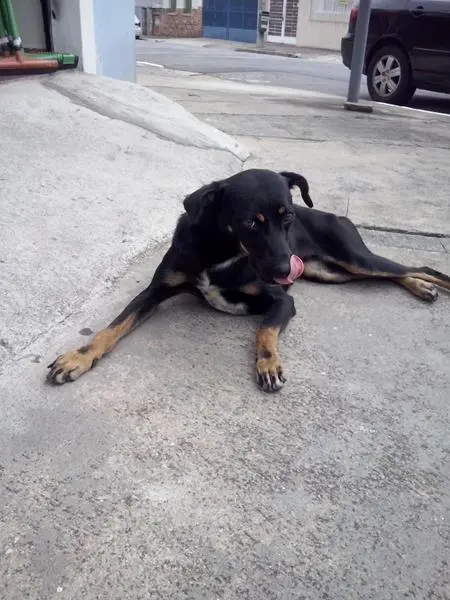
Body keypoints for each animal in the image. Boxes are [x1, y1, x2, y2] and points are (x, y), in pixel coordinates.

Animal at [47, 168, 450, 392]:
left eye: (287, 217)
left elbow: (265, 331)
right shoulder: (156, 291)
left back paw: (431, 284)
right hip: (333, 273)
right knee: (401, 272)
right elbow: (111, 328)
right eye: (251, 222)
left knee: (418, 267)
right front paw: (78, 358)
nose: (286, 269)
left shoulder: (282, 299)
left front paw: (268, 365)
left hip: (354, 258)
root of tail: (336, 214)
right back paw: (422, 289)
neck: (220, 251)